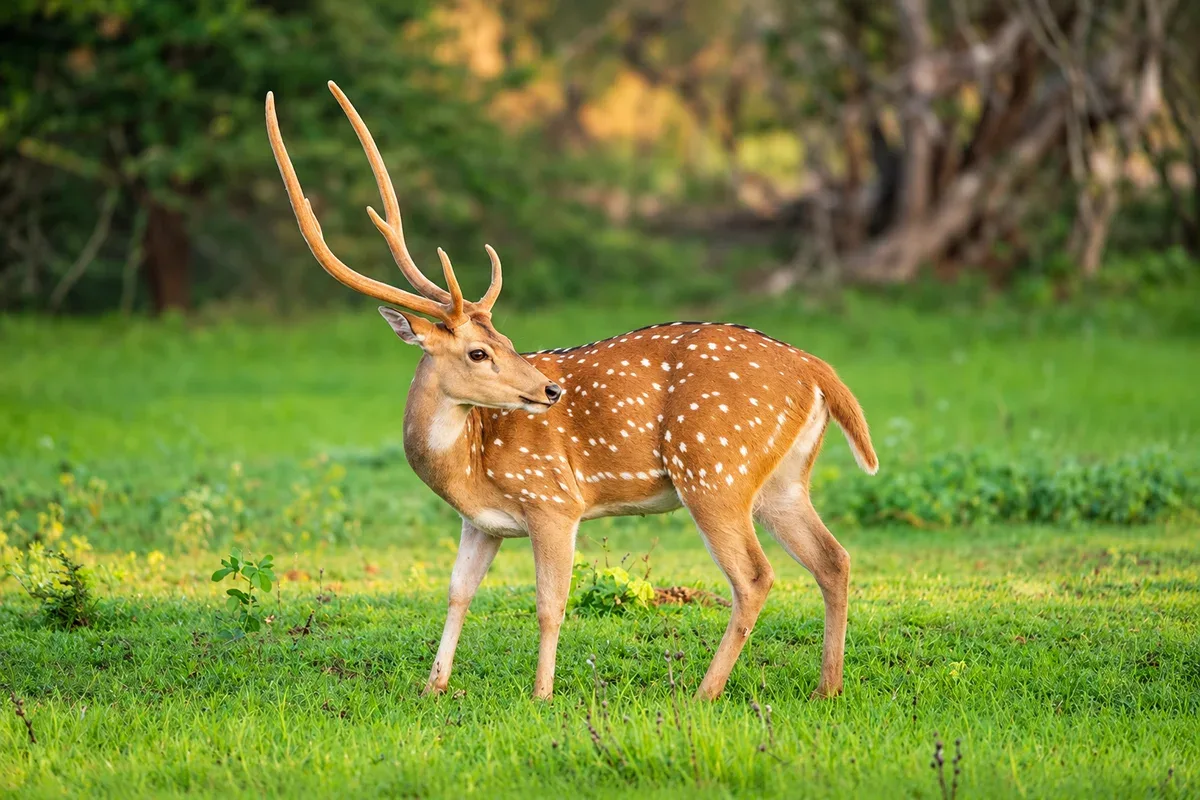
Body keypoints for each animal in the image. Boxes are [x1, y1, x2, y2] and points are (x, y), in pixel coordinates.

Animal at [265, 82, 879, 702]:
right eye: (482, 350)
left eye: (506, 341)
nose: (550, 389)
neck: (467, 466)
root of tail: (815, 369)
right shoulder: (480, 523)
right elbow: (457, 593)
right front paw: (433, 686)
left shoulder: (553, 500)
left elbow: (549, 604)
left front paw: (541, 693)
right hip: (782, 480)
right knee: (834, 559)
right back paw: (827, 688)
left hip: (713, 467)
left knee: (755, 575)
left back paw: (705, 692)